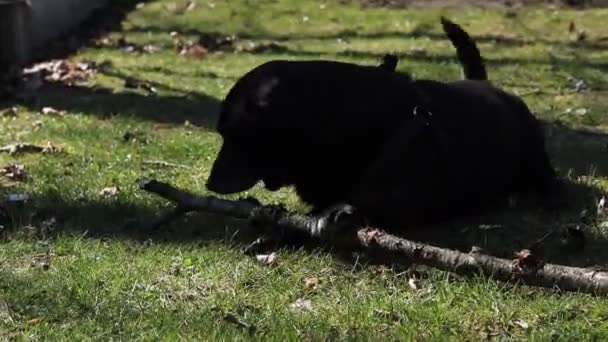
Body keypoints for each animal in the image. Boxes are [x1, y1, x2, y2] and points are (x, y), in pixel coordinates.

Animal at [205, 18, 560, 235]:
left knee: (548, 179)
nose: (209, 183)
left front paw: (337, 213)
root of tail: (486, 84)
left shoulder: (405, 203)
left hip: (535, 155)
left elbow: (360, 202)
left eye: (232, 134)